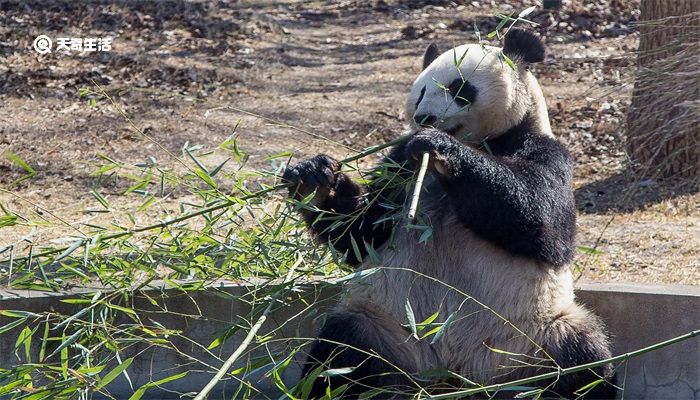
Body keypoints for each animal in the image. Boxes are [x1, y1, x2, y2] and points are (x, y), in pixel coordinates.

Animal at [282, 28, 616, 400]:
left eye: (460, 88)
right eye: (421, 92)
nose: (424, 119)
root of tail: (451, 378)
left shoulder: (542, 150)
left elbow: (544, 224)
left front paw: (441, 148)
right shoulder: (399, 165)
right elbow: (362, 232)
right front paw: (313, 179)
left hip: (534, 336)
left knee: (583, 361)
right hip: (382, 327)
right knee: (339, 356)